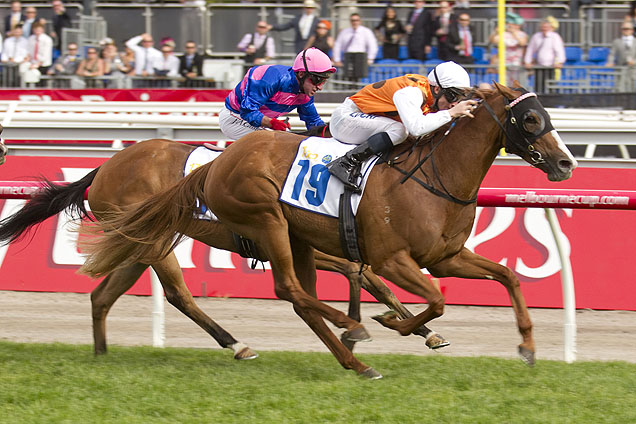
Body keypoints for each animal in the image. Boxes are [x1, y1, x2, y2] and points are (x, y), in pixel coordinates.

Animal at [0, 133, 442, 358]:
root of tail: (105, 167)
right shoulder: (308, 246)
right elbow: (358, 273)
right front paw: (356, 328)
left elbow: (374, 280)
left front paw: (423, 331)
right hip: (156, 243)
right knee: (178, 294)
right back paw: (237, 344)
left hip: (138, 243)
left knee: (103, 295)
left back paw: (102, 355)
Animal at [78, 83, 576, 378]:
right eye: (531, 119)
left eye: (548, 115)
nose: (566, 163)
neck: (434, 176)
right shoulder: (390, 258)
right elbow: (430, 298)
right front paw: (391, 323)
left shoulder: (443, 257)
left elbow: (507, 276)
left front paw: (527, 347)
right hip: (262, 221)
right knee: (275, 291)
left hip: (159, 241)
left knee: (105, 295)